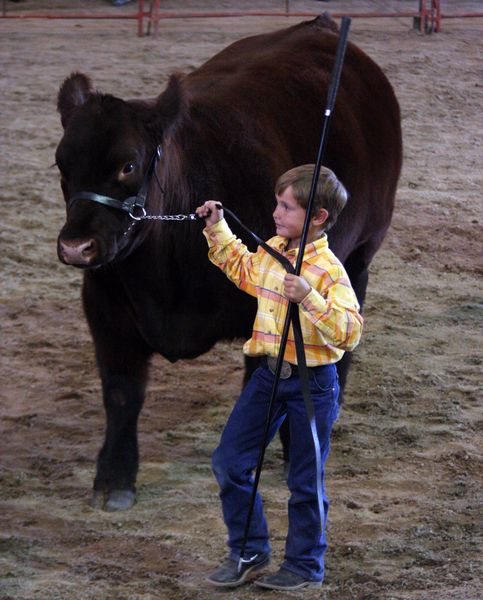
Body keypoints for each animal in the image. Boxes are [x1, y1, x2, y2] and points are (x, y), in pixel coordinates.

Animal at [55, 15, 404, 510]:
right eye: (61, 163)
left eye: (128, 165)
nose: (75, 246)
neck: (164, 278)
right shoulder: (105, 305)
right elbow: (122, 394)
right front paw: (115, 478)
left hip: (361, 254)